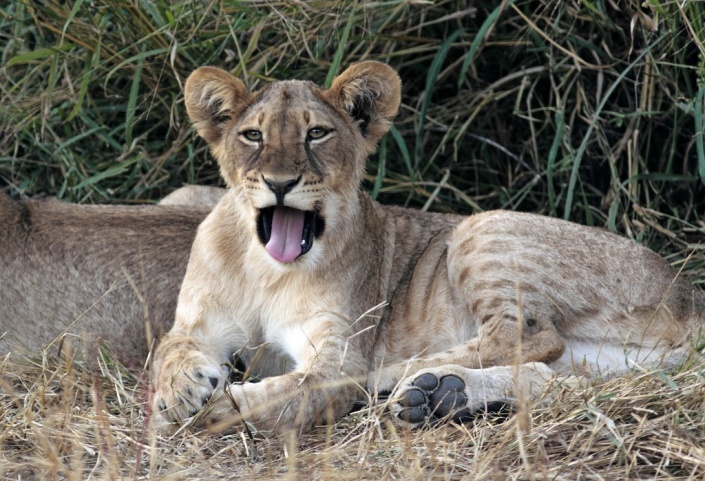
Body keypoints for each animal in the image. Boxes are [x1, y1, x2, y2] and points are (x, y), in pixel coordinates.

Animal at [152, 61, 705, 433]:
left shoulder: (337, 353)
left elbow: (293, 393)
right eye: (252, 136)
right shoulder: (198, 322)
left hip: (482, 228)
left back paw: (399, 378)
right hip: (603, 361)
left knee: (527, 336)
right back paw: (440, 394)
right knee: (554, 378)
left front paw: (215, 406)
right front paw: (178, 392)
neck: (266, 268)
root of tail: (689, 294)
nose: (281, 183)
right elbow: (168, 349)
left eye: (317, 133)